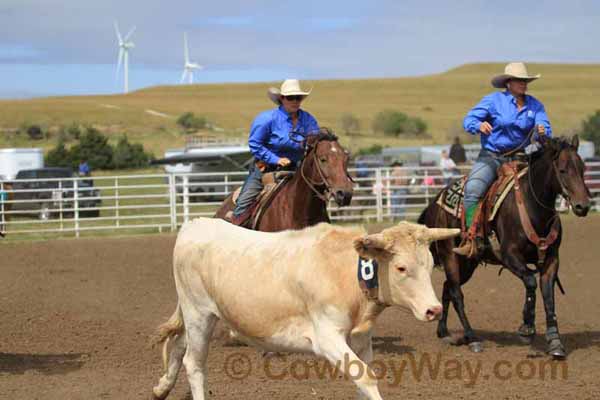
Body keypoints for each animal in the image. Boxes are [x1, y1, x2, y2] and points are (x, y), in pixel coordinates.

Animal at [151, 219, 460, 400]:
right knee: (194, 363)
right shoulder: (327, 338)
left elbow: (363, 379)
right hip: (199, 313)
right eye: (401, 268)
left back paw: (161, 388)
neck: (344, 272)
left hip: (198, 316)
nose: (433, 310)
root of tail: (195, 224)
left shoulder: (361, 338)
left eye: (430, 264)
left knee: (178, 345)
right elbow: (365, 377)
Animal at [420, 136, 592, 358]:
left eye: (582, 168)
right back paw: (472, 338)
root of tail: (435, 202)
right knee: (457, 293)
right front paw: (527, 328)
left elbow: (548, 297)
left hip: (467, 263)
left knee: (447, 287)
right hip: (449, 254)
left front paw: (555, 342)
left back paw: (444, 332)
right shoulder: (510, 256)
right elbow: (530, 282)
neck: (532, 205)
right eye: (562, 170)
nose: (583, 206)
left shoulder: (552, 259)